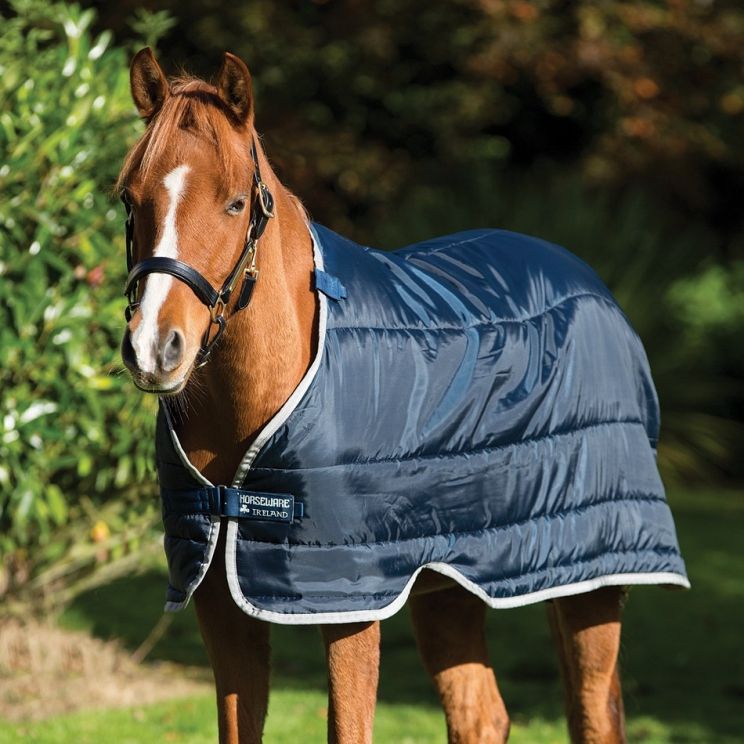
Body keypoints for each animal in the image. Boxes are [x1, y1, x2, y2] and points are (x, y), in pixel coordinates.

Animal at [118, 48, 688, 743]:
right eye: (130, 200)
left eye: (234, 203)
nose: (155, 347)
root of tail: (591, 285)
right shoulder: (218, 602)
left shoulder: (349, 605)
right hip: (452, 587)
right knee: (480, 715)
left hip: (592, 581)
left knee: (592, 713)